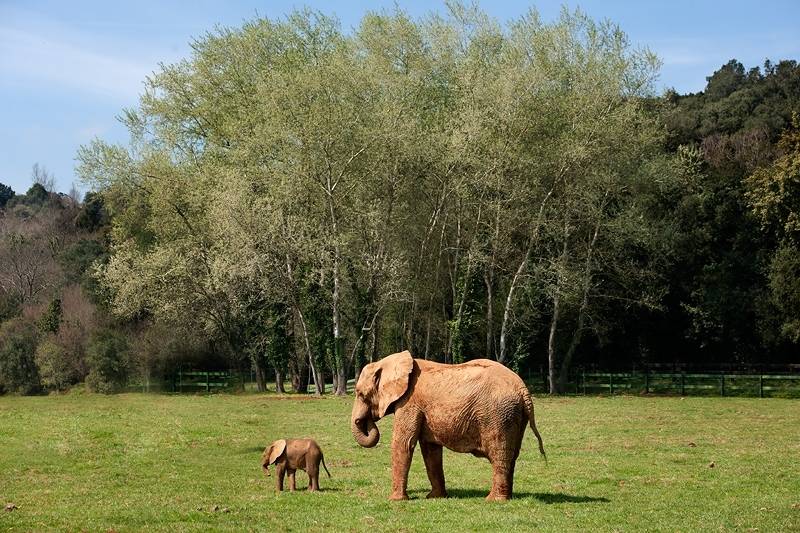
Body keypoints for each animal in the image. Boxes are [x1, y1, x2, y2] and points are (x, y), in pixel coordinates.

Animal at [350, 350, 544, 498]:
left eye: (360, 394)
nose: (365, 421)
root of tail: (523, 389)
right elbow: (430, 449)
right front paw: (434, 497)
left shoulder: (409, 403)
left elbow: (403, 443)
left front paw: (396, 500)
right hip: (513, 415)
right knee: (512, 456)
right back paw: (507, 497)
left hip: (498, 415)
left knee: (499, 454)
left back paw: (493, 500)